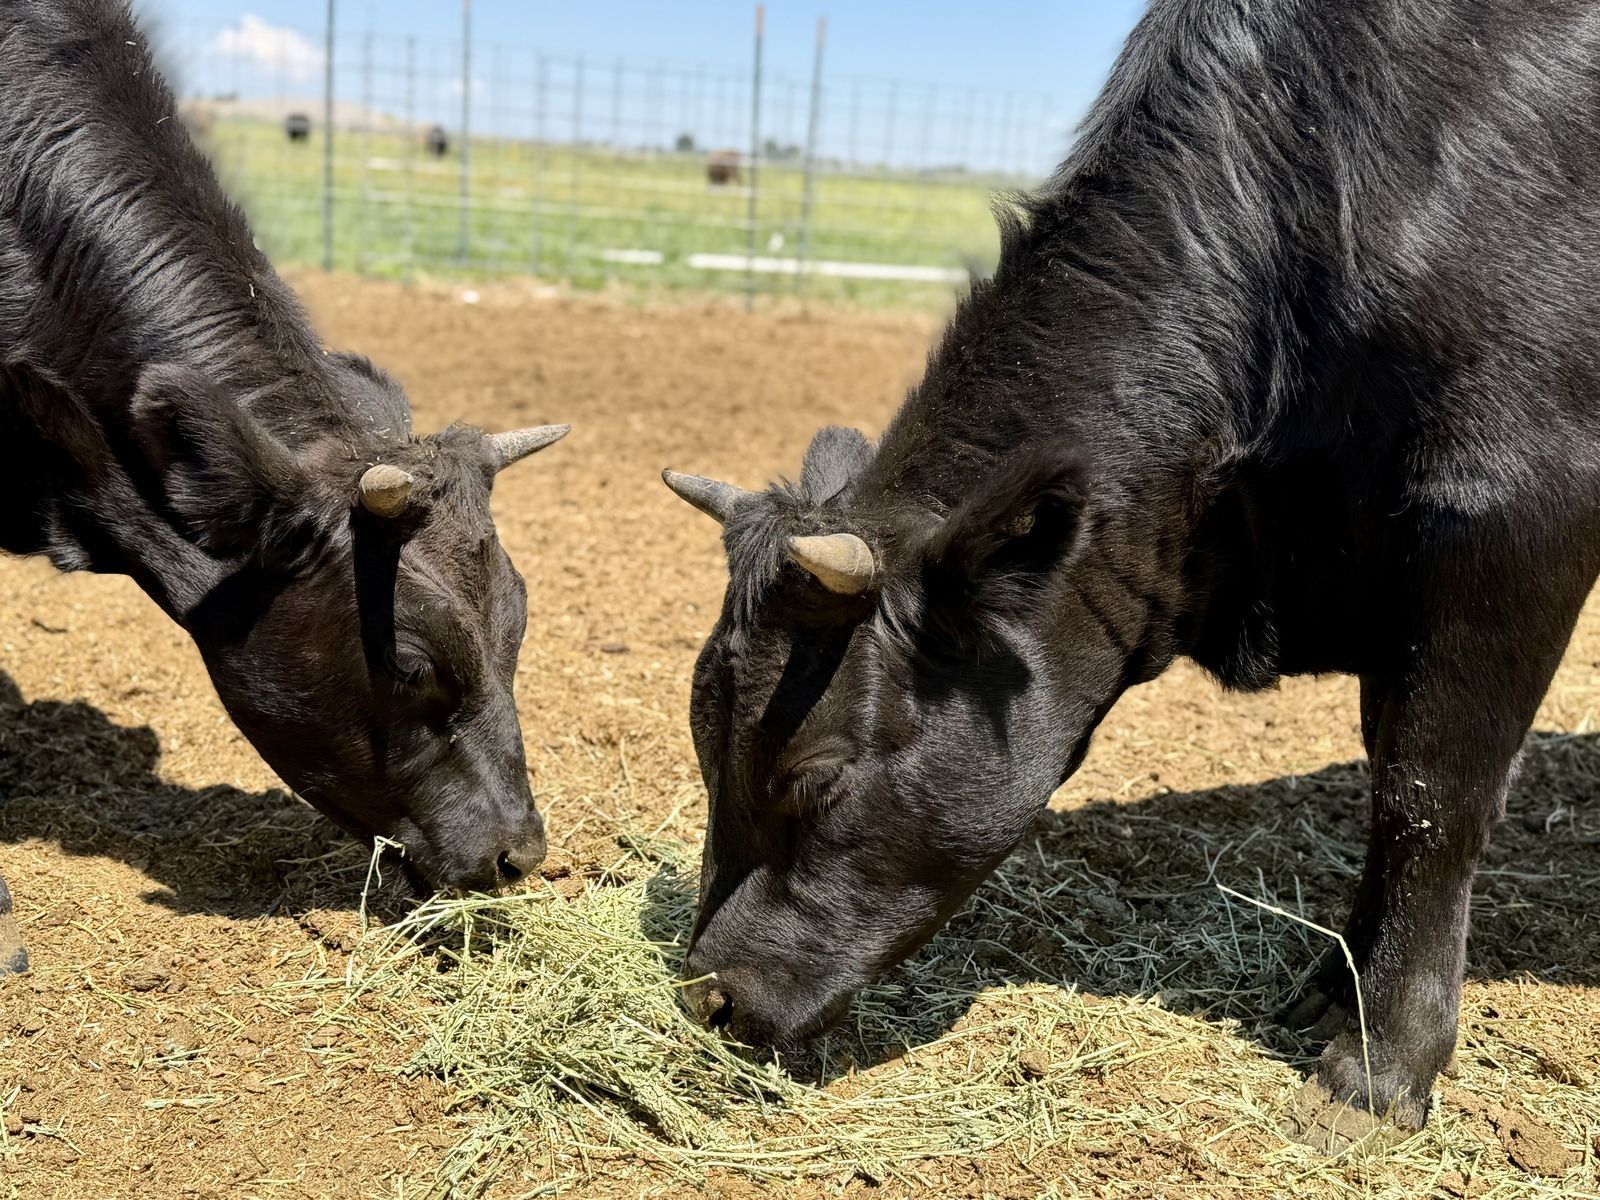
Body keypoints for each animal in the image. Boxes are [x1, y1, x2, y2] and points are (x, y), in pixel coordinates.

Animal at [662, 0, 1600, 1150]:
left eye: (815, 776)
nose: (706, 999)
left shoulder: (1508, 514)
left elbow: (1429, 794)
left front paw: (1379, 1071)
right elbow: (1388, 776)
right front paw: (1332, 991)